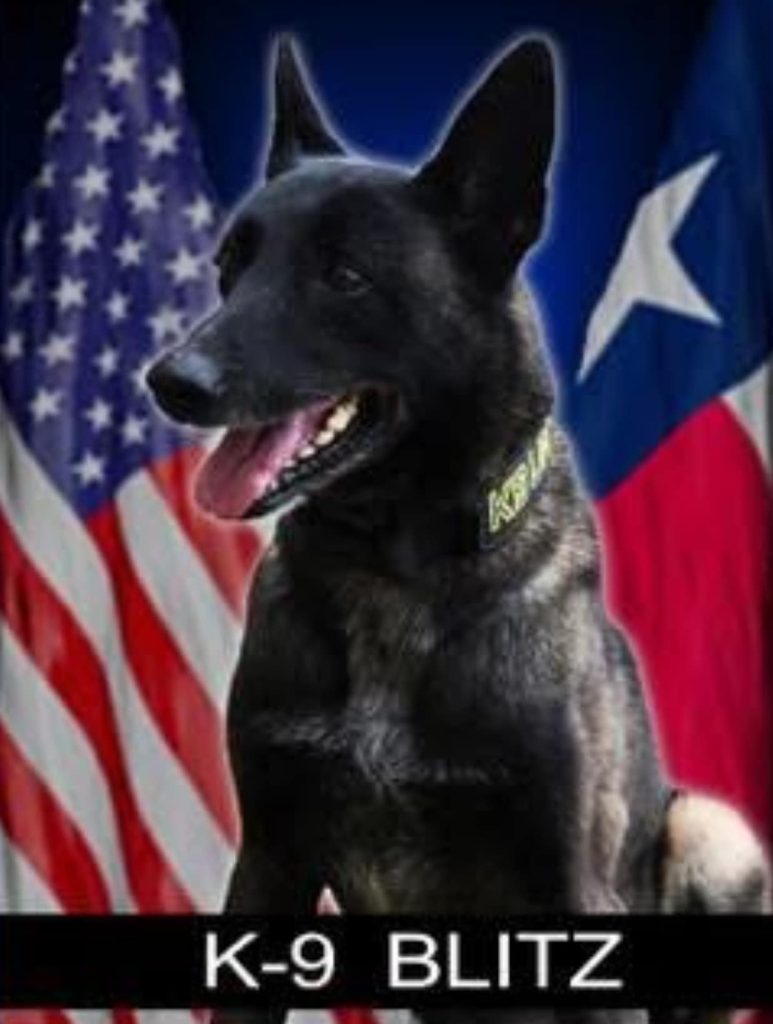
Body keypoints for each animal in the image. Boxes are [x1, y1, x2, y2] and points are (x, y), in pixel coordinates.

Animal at [148, 37, 770, 1024]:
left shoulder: (574, 885)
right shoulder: (270, 863)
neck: (391, 568)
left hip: (715, 830)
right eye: (227, 269)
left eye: (345, 277)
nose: (170, 381)